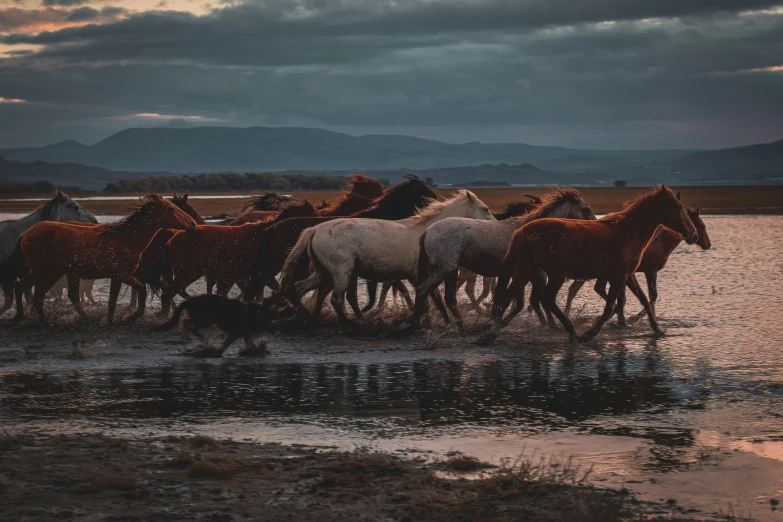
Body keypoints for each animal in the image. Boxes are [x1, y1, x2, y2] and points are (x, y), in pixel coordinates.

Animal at [14, 192, 199, 320]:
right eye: (170, 208)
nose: (193, 224)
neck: (127, 238)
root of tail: (24, 234)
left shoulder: (118, 276)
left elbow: (113, 301)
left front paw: (111, 321)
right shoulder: (124, 274)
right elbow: (140, 290)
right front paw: (133, 316)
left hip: (54, 273)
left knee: (26, 289)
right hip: (48, 273)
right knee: (36, 295)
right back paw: (44, 321)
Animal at [278, 189, 494, 328]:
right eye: (485, 209)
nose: (495, 225)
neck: (429, 232)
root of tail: (314, 229)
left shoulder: (424, 275)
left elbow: (435, 299)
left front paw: (443, 321)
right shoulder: (422, 275)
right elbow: (427, 298)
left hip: (323, 272)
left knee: (299, 288)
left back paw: (308, 317)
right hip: (341, 272)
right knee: (336, 299)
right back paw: (352, 323)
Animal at [416, 187, 596, 328]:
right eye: (586, 209)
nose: (594, 226)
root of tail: (427, 231)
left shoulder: (523, 274)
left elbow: (519, 301)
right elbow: (519, 301)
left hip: (450, 271)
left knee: (448, 298)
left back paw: (458, 326)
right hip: (444, 269)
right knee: (423, 291)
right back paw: (417, 324)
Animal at [568, 202, 712, 320]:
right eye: (701, 225)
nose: (707, 244)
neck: (662, 243)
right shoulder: (650, 270)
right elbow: (652, 296)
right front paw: (635, 318)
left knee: (579, 289)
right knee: (586, 289)